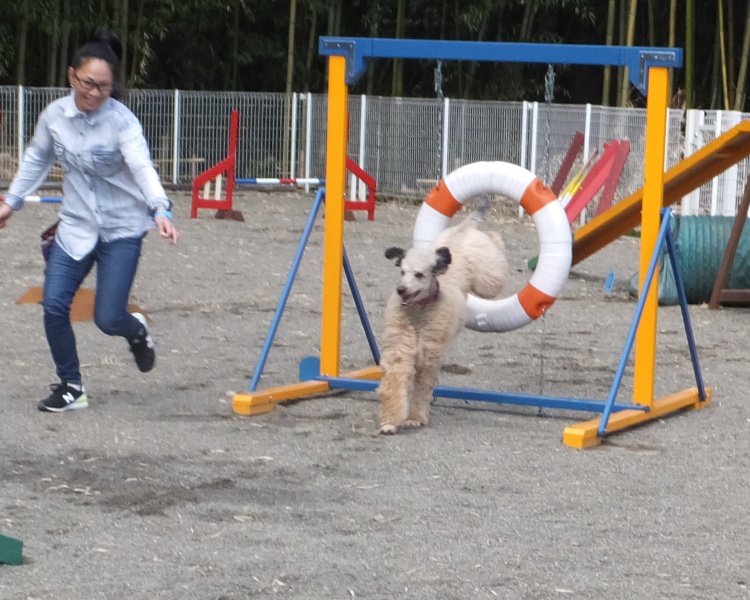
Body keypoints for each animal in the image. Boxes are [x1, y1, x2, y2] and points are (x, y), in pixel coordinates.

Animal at [377, 200, 509, 434]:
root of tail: (463, 228)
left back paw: (496, 239)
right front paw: (390, 422)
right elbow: (395, 381)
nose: (401, 289)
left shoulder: (430, 354)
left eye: (419, 275)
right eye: (402, 271)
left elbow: (423, 386)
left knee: (494, 247)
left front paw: (416, 417)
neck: (420, 311)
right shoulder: (399, 350)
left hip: (488, 276)